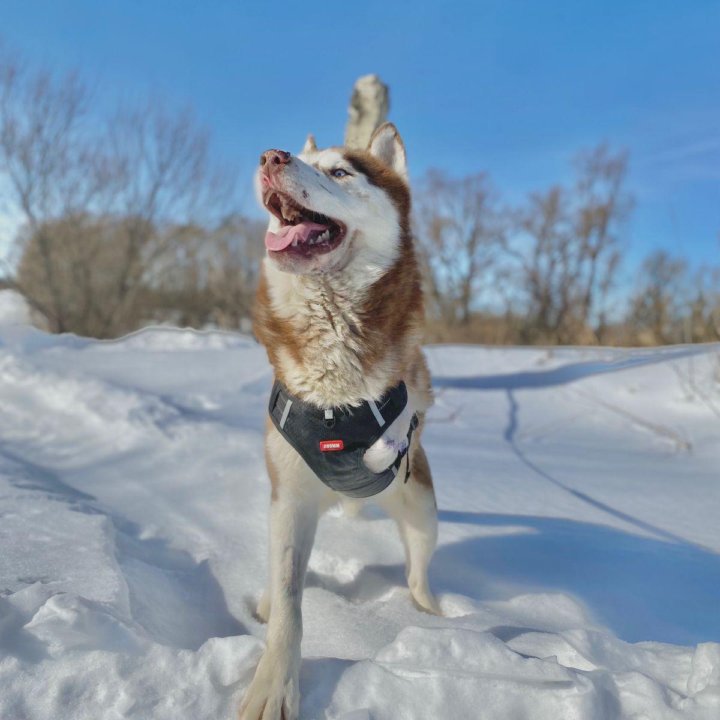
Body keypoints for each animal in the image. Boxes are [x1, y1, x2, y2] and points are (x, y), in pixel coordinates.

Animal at [240, 125, 438, 720]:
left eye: (340, 172)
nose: (270, 156)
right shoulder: (289, 499)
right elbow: (289, 601)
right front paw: (274, 684)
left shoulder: (407, 398)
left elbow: (401, 418)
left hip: (422, 508)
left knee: (418, 573)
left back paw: (435, 615)